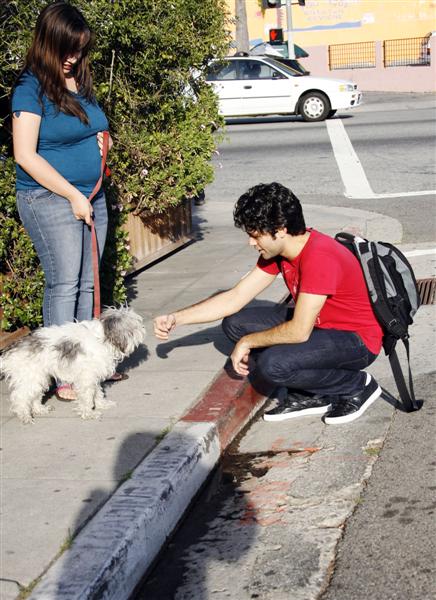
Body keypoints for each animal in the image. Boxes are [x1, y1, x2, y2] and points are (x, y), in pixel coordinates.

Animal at [0, 308, 146, 424]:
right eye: (135, 326)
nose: (143, 329)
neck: (102, 337)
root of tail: (12, 349)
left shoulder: (92, 375)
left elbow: (97, 392)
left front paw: (102, 404)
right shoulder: (86, 378)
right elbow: (87, 397)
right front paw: (88, 413)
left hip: (39, 377)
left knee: (34, 395)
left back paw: (40, 409)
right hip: (30, 376)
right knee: (20, 396)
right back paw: (24, 415)